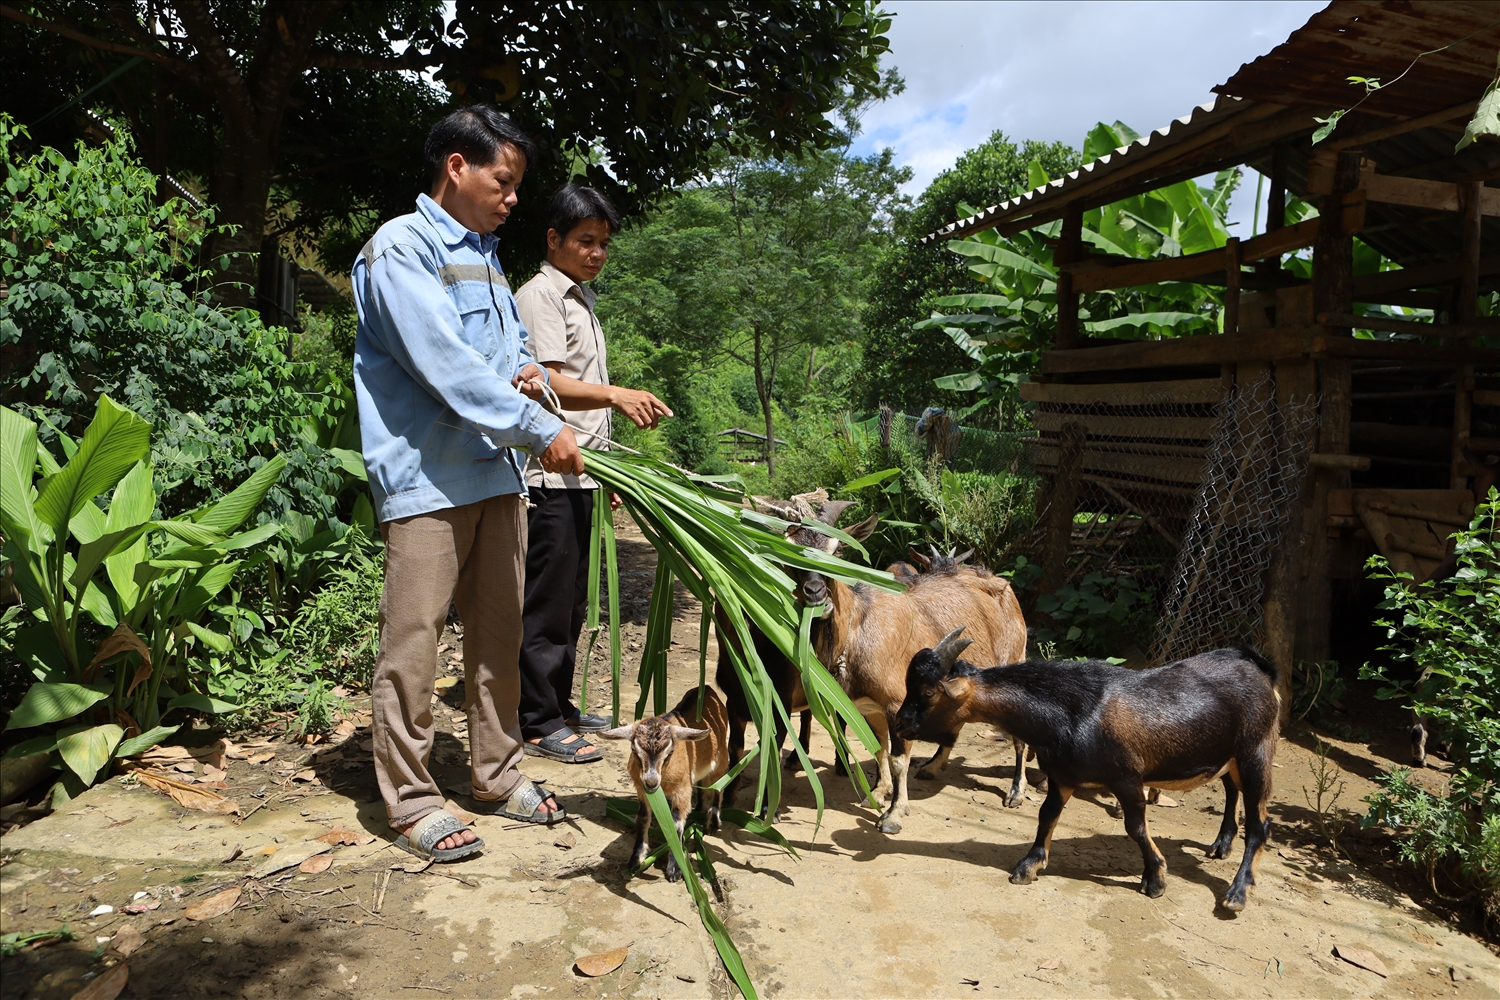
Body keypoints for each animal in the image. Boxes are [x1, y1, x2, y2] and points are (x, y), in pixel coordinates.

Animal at [894, 632, 1284, 917]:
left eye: (927, 692)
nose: (899, 723)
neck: (1072, 713)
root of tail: (1259, 667)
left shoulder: (1127, 779)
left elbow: (1135, 828)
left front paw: (1156, 878)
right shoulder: (1062, 776)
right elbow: (1046, 815)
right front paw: (1029, 866)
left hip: (1256, 750)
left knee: (1260, 825)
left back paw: (1237, 892)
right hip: (1228, 755)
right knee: (1231, 790)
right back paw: (1220, 845)